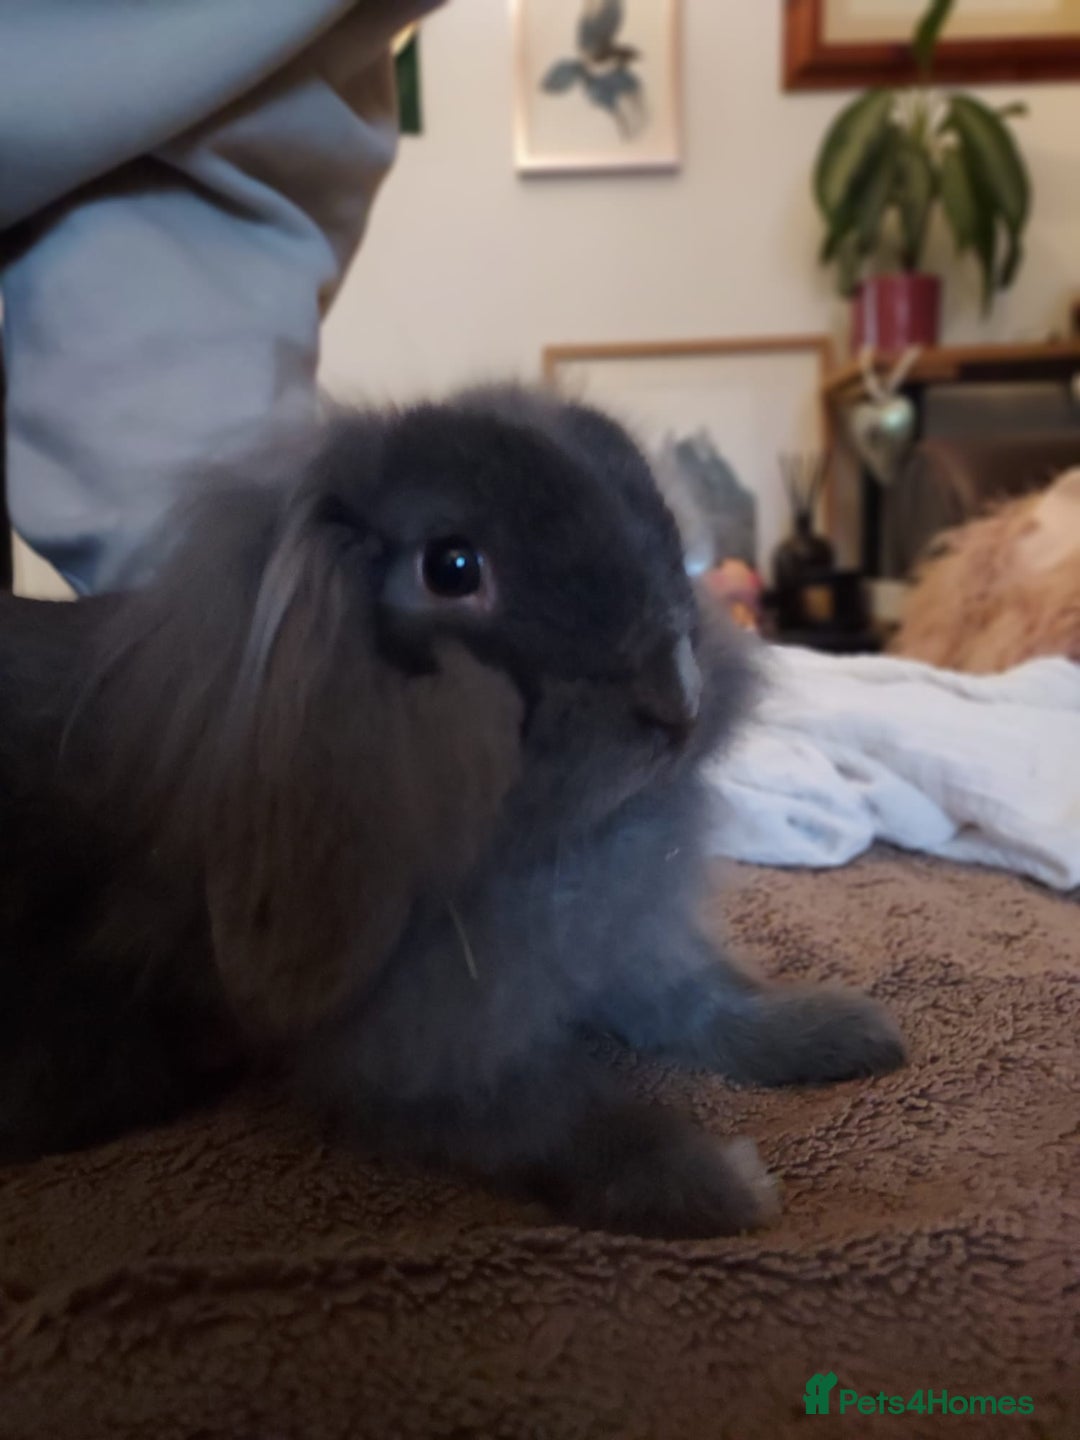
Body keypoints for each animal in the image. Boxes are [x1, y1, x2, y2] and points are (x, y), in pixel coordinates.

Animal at [0, 385, 906, 1236]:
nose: (677, 699)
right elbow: (566, 1117)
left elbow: (700, 1000)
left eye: (661, 532)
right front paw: (720, 1186)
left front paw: (842, 1031)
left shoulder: (618, 947)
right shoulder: (423, 1059)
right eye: (453, 568)